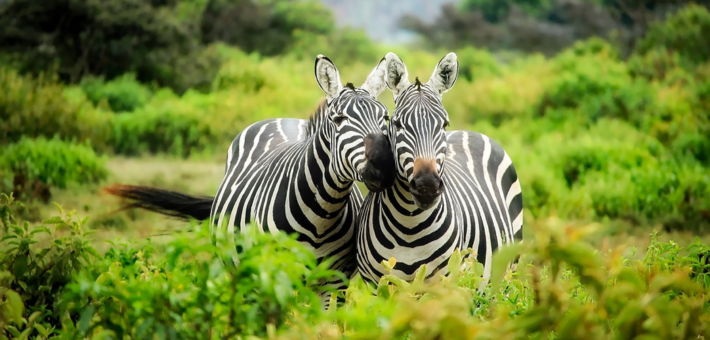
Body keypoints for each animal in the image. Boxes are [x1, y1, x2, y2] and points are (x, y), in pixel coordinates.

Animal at [103, 53, 398, 308]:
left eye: (385, 117)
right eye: (338, 120)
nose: (384, 166)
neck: (322, 215)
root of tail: (283, 118)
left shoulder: (334, 283)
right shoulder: (273, 275)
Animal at [356, 51, 524, 288]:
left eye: (444, 124)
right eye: (397, 124)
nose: (427, 186)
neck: (409, 225)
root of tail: (470, 131)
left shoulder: (444, 284)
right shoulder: (376, 286)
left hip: (508, 271)